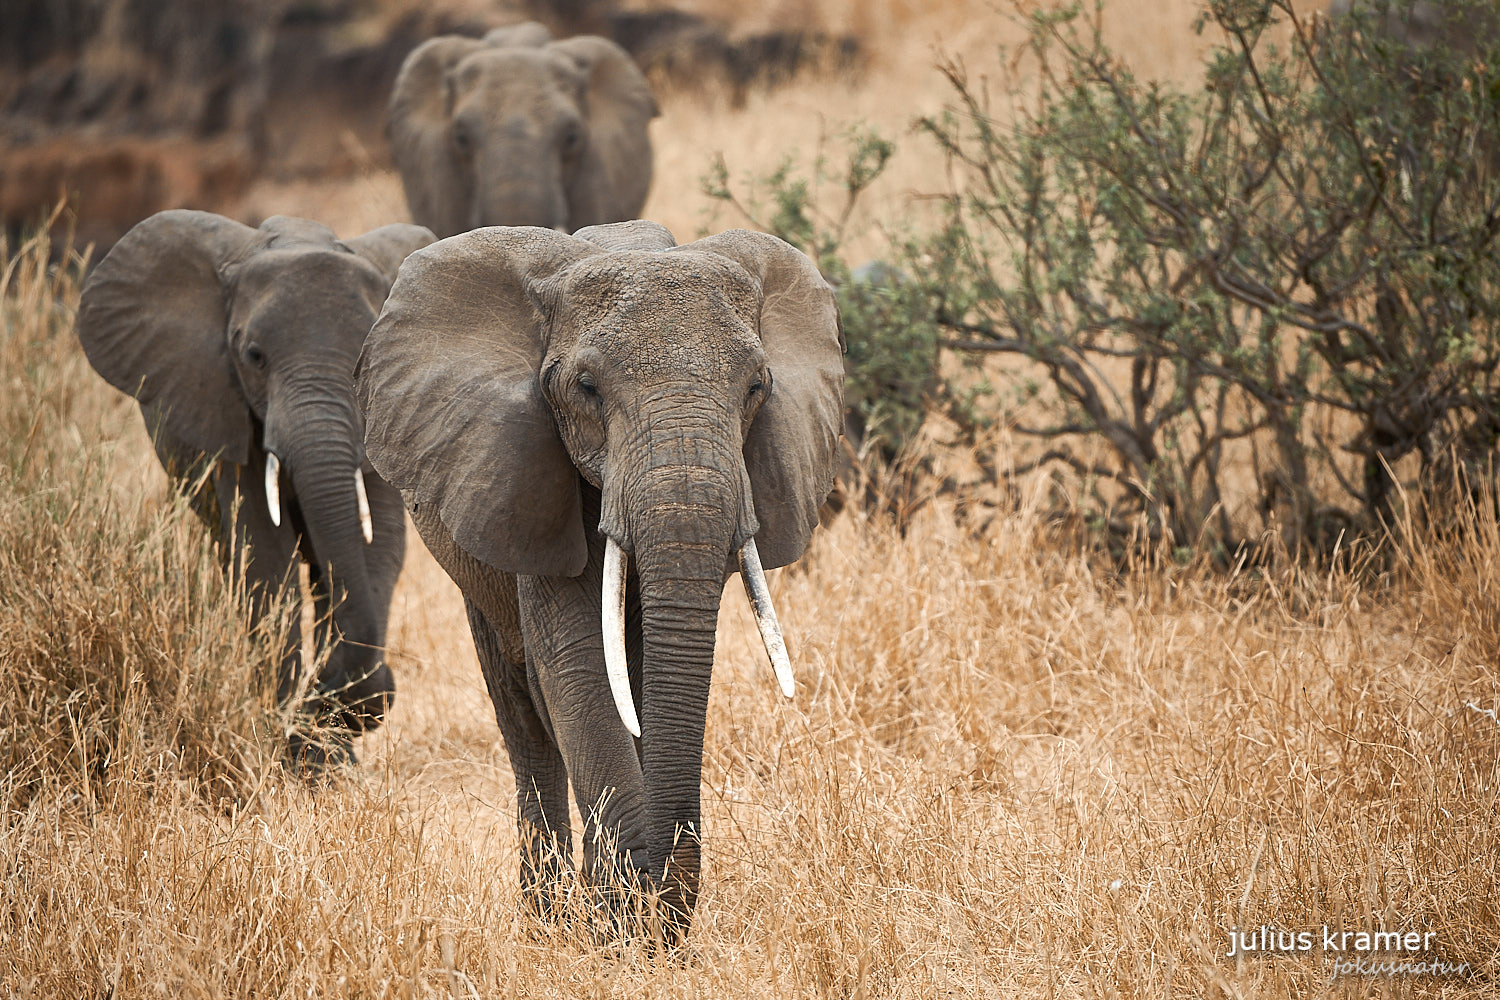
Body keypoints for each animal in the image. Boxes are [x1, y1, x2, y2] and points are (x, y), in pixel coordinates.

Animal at [76, 211, 435, 773]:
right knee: (239, 558)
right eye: (254, 356)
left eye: (369, 357)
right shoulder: (226, 407)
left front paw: (330, 744)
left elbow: (382, 544)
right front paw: (303, 761)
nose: (377, 694)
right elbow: (265, 560)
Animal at [352, 217, 846, 941]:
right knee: (523, 711)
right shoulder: (530, 473)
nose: (658, 907)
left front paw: (629, 922)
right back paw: (548, 921)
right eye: (586, 387)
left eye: (757, 387)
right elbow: (579, 664)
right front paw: (616, 928)